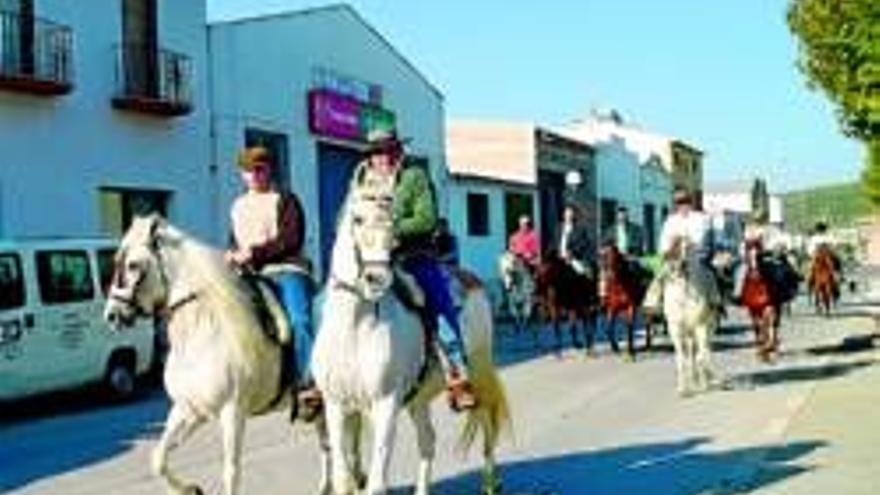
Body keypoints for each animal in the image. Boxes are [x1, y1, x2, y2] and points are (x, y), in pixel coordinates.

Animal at [105, 218, 332, 495]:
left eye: (133, 265)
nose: (112, 315)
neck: (201, 332)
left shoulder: (232, 412)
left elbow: (230, 473)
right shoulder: (188, 409)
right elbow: (158, 459)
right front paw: (190, 489)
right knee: (328, 444)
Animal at [312, 168, 512, 495]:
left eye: (392, 220)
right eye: (357, 218)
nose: (377, 278)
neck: (355, 328)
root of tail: (472, 281)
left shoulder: (385, 404)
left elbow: (377, 483)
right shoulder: (337, 406)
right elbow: (343, 478)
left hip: (479, 373)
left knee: (486, 420)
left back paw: (491, 482)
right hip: (418, 399)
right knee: (427, 442)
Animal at [664, 242, 720, 398]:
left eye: (685, 247)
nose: (674, 266)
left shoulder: (701, 326)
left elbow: (701, 355)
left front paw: (705, 384)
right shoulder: (675, 330)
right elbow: (681, 358)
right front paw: (683, 390)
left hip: (709, 326)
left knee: (705, 350)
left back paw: (710, 378)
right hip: (689, 333)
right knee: (692, 353)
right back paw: (695, 378)